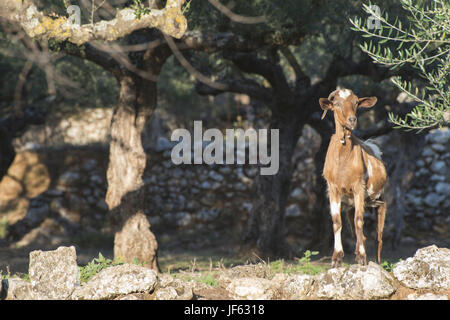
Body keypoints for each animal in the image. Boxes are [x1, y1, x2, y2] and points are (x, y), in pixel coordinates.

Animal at [320, 88, 386, 268]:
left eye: (356, 102)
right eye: (336, 103)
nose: (352, 120)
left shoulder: (359, 187)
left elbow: (359, 220)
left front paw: (362, 257)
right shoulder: (333, 189)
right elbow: (337, 222)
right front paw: (336, 258)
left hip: (379, 199)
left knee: (378, 235)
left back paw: (376, 261)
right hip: (350, 205)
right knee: (356, 230)